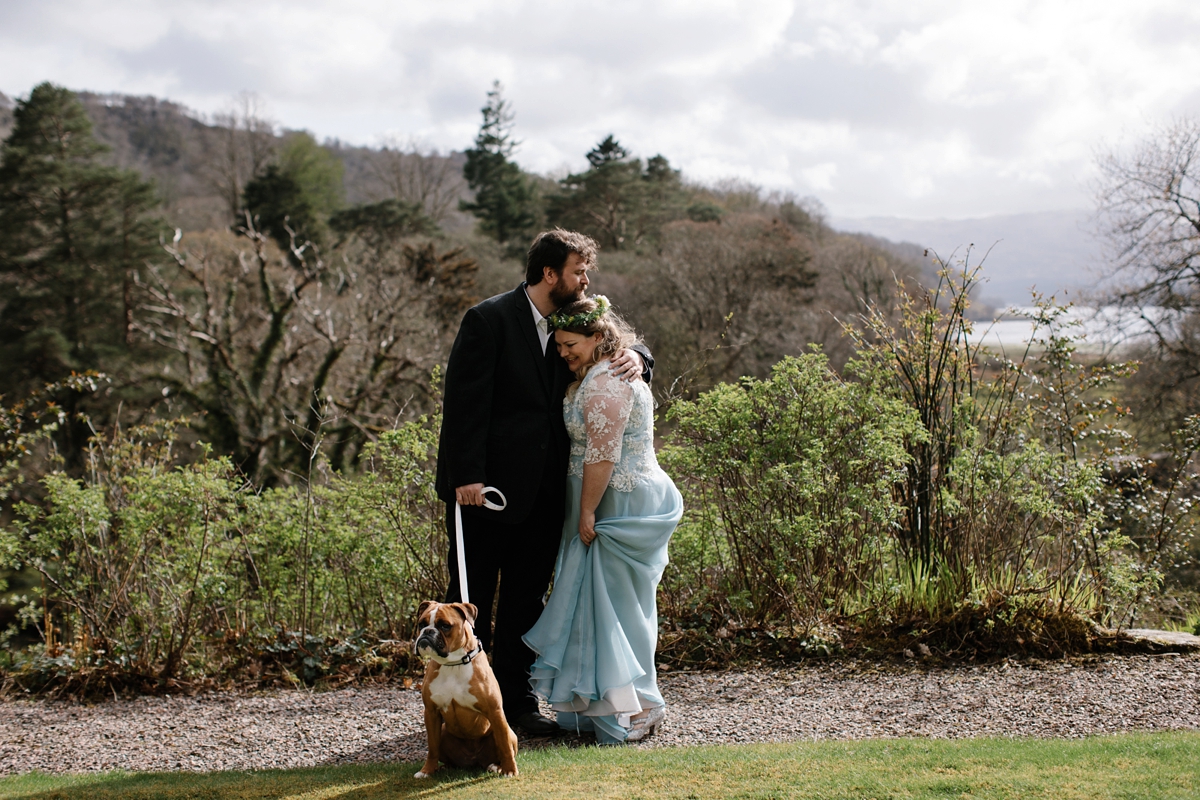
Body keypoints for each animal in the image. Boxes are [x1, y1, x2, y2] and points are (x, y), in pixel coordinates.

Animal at [412, 599, 516, 777]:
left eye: (445, 625)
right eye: (421, 624)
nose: (427, 632)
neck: (453, 663)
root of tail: (473, 760)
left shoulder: (495, 711)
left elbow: (505, 746)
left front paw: (510, 770)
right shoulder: (431, 713)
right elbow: (432, 747)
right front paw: (426, 771)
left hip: (507, 730)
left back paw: (497, 766)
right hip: (444, 731)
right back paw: (445, 767)